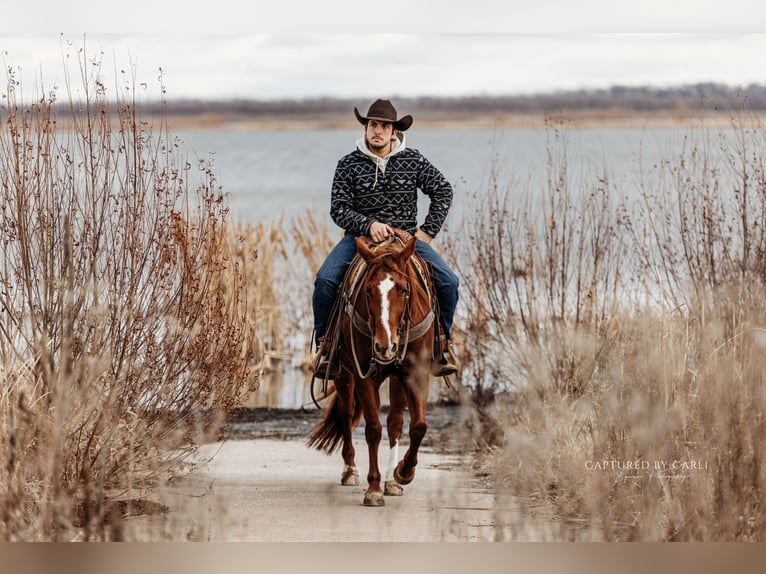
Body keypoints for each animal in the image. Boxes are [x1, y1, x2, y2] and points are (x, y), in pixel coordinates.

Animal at [308, 230, 438, 508]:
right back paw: (350, 470)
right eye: (367, 291)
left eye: (403, 289)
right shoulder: (364, 376)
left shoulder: (416, 373)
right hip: (344, 375)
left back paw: (392, 481)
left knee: (395, 423)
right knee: (347, 414)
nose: (384, 345)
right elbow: (373, 430)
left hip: (396, 379)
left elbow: (418, 426)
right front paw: (374, 489)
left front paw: (402, 473)